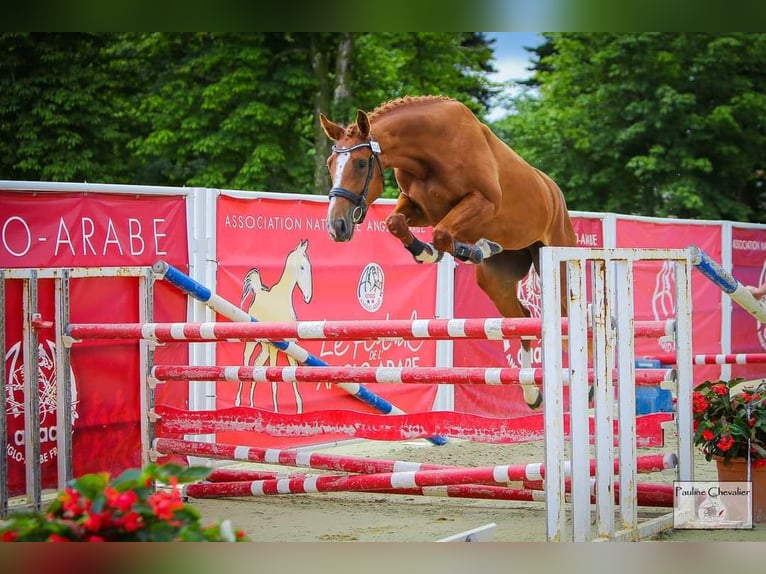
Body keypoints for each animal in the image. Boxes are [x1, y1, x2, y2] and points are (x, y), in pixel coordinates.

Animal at [318, 95, 576, 410]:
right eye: (331, 164)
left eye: (360, 162)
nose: (337, 226)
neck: (431, 151)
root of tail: (553, 191)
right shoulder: (419, 206)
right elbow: (396, 223)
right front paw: (426, 252)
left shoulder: (484, 202)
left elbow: (441, 234)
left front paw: (468, 249)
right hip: (496, 281)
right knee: (524, 318)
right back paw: (531, 393)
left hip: (558, 261)